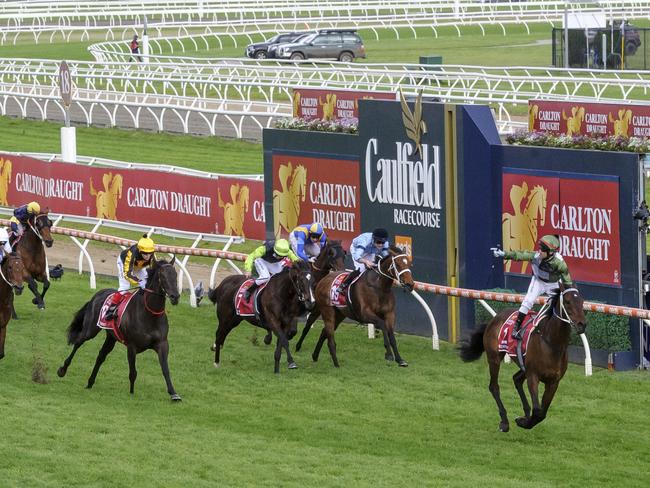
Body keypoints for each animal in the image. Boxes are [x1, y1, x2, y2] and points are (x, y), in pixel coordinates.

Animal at [56, 258, 182, 402]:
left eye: (175, 275)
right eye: (162, 276)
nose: (175, 296)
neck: (149, 314)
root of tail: (98, 294)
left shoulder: (162, 344)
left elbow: (165, 369)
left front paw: (173, 393)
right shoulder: (132, 346)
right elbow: (133, 372)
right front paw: (132, 392)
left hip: (111, 337)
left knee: (101, 356)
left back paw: (90, 382)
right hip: (90, 330)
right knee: (78, 343)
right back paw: (63, 369)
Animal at [456, 284, 588, 432]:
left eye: (582, 302)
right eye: (567, 302)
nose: (582, 324)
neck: (552, 344)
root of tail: (495, 318)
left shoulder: (554, 382)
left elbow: (542, 413)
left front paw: (525, 420)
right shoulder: (533, 376)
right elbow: (538, 411)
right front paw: (523, 422)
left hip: (523, 365)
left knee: (516, 379)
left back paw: (525, 412)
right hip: (494, 358)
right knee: (494, 386)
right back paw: (504, 421)